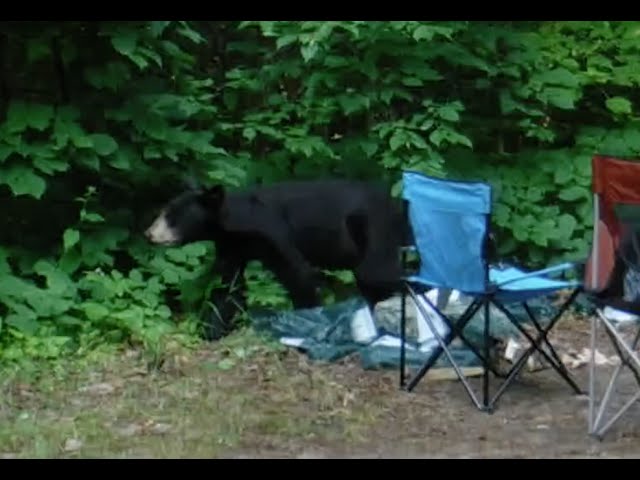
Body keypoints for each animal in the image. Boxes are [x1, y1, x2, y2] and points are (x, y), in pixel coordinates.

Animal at [144, 179, 407, 341]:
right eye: (165, 211)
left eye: (172, 216)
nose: (149, 233)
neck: (237, 226)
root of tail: (395, 203)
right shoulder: (232, 247)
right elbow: (228, 288)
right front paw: (210, 330)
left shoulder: (274, 233)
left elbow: (298, 273)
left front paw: (305, 321)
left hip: (373, 229)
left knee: (377, 272)